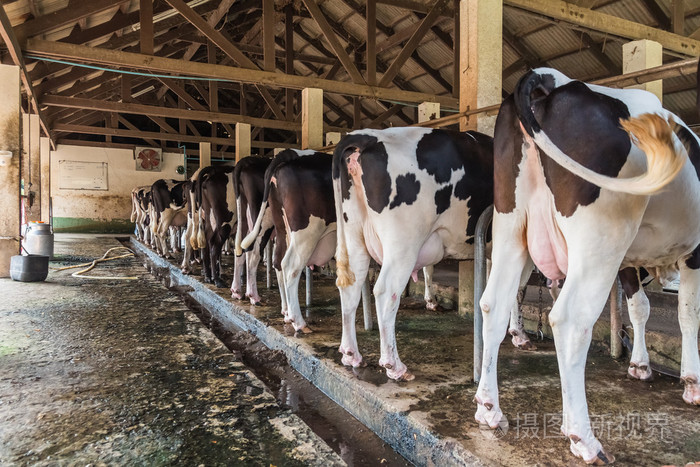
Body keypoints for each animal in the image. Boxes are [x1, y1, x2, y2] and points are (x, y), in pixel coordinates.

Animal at [231, 155, 272, 306]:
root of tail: (245, 161)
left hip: (244, 214)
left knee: (240, 249)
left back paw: (237, 291)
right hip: (262, 218)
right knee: (253, 251)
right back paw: (254, 296)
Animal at [242, 150, 338, 332]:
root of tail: (291, 154)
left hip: (280, 226)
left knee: (273, 259)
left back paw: (283, 311)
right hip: (306, 231)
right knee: (289, 265)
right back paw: (298, 322)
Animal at [332, 127, 492, 380]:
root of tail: (367, 135)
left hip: (353, 234)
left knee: (351, 287)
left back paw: (351, 355)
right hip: (403, 242)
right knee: (385, 292)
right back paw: (394, 366)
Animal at [478, 67, 696, 466]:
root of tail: (549, 78)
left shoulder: (629, 259)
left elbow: (639, 308)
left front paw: (640, 365)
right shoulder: (693, 252)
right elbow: (688, 315)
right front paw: (691, 382)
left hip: (511, 225)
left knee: (494, 303)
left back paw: (489, 408)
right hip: (603, 235)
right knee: (569, 320)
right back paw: (583, 438)